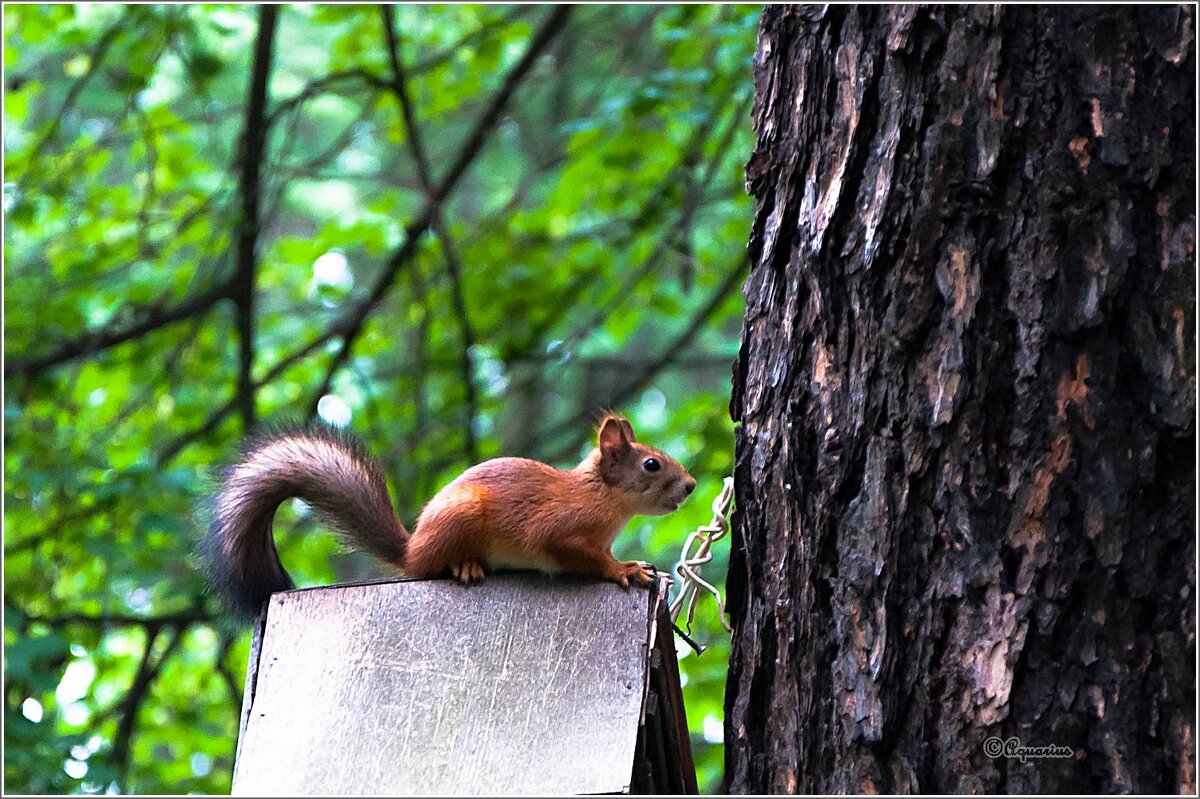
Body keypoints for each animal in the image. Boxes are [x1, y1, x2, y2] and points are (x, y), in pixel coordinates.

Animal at [201, 410, 700, 614]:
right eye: (651, 464)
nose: (692, 485)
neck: (602, 498)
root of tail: (412, 549)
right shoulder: (560, 530)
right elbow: (584, 558)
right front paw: (626, 570)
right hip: (460, 521)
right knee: (434, 566)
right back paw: (464, 566)